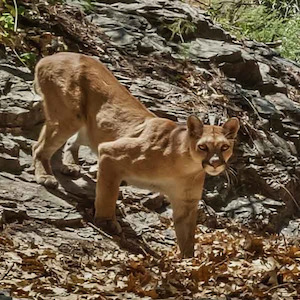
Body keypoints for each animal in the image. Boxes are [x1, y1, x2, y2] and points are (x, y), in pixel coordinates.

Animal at [32, 52, 239, 258]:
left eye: (224, 147)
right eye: (203, 147)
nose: (215, 163)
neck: (185, 166)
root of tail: (50, 56)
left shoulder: (186, 203)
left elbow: (187, 236)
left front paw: (188, 260)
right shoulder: (111, 154)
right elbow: (108, 193)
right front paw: (107, 222)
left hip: (88, 125)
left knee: (72, 140)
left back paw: (71, 165)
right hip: (69, 115)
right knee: (39, 147)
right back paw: (46, 176)